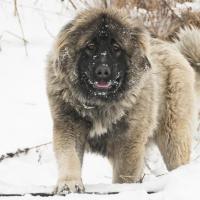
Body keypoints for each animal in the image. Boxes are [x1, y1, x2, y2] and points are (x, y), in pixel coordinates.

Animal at [46, 8, 198, 194]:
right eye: (90, 46)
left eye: (116, 47)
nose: (102, 71)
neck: (100, 105)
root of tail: (175, 51)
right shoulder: (69, 127)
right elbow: (69, 157)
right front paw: (69, 184)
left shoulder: (128, 142)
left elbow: (124, 175)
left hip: (173, 138)